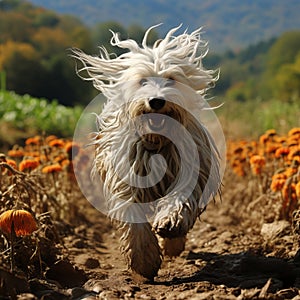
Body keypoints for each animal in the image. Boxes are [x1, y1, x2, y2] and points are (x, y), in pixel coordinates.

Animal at [72, 24, 221, 280]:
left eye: (171, 79)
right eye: (143, 81)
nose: (156, 101)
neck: (155, 142)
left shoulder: (189, 171)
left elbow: (179, 201)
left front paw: (170, 226)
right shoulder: (127, 180)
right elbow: (135, 222)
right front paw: (144, 261)